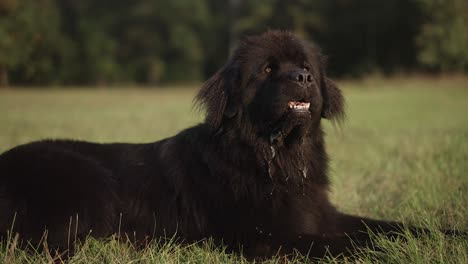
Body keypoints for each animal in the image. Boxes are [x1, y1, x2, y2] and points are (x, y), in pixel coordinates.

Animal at [0, 30, 460, 258]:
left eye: (306, 67)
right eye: (268, 69)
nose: (302, 78)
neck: (276, 159)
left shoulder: (320, 214)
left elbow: (391, 227)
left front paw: (448, 235)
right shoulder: (261, 236)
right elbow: (347, 244)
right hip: (87, 179)